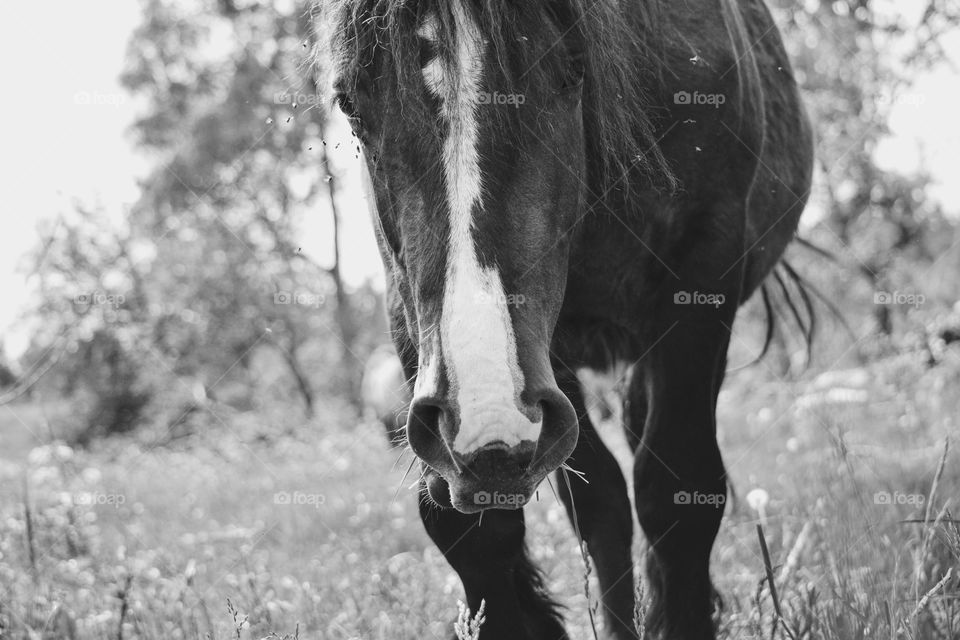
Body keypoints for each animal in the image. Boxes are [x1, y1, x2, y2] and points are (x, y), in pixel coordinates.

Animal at [318, 1, 812, 636]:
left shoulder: (704, 274)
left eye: (574, 68)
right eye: (349, 102)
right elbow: (479, 529)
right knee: (602, 503)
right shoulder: (411, 310)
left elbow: (680, 488)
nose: (487, 427)